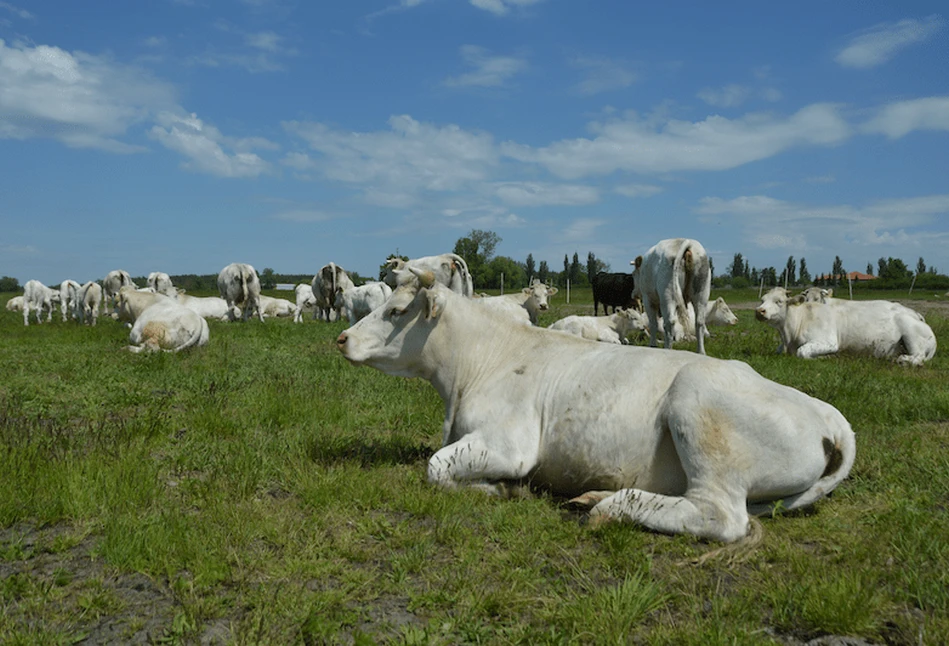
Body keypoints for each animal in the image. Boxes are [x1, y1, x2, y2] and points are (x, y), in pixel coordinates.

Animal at [336, 270, 856, 548]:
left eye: (396, 312)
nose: (341, 338)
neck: (473, 369)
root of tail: (827, 413)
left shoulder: (510, 444)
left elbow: (436, 466)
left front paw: (502, 488)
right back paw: (594, 498)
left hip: (699, 411)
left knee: (720, 516)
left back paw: (610, 505)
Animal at [752, 288, 936, 368]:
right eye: (762, 300)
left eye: (779, 301)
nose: (759, 311)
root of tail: (916, 314)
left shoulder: (828, 341)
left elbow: (802, 352)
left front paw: (827, 357)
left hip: (911, 332)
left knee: (918, 357)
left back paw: (902, 360)